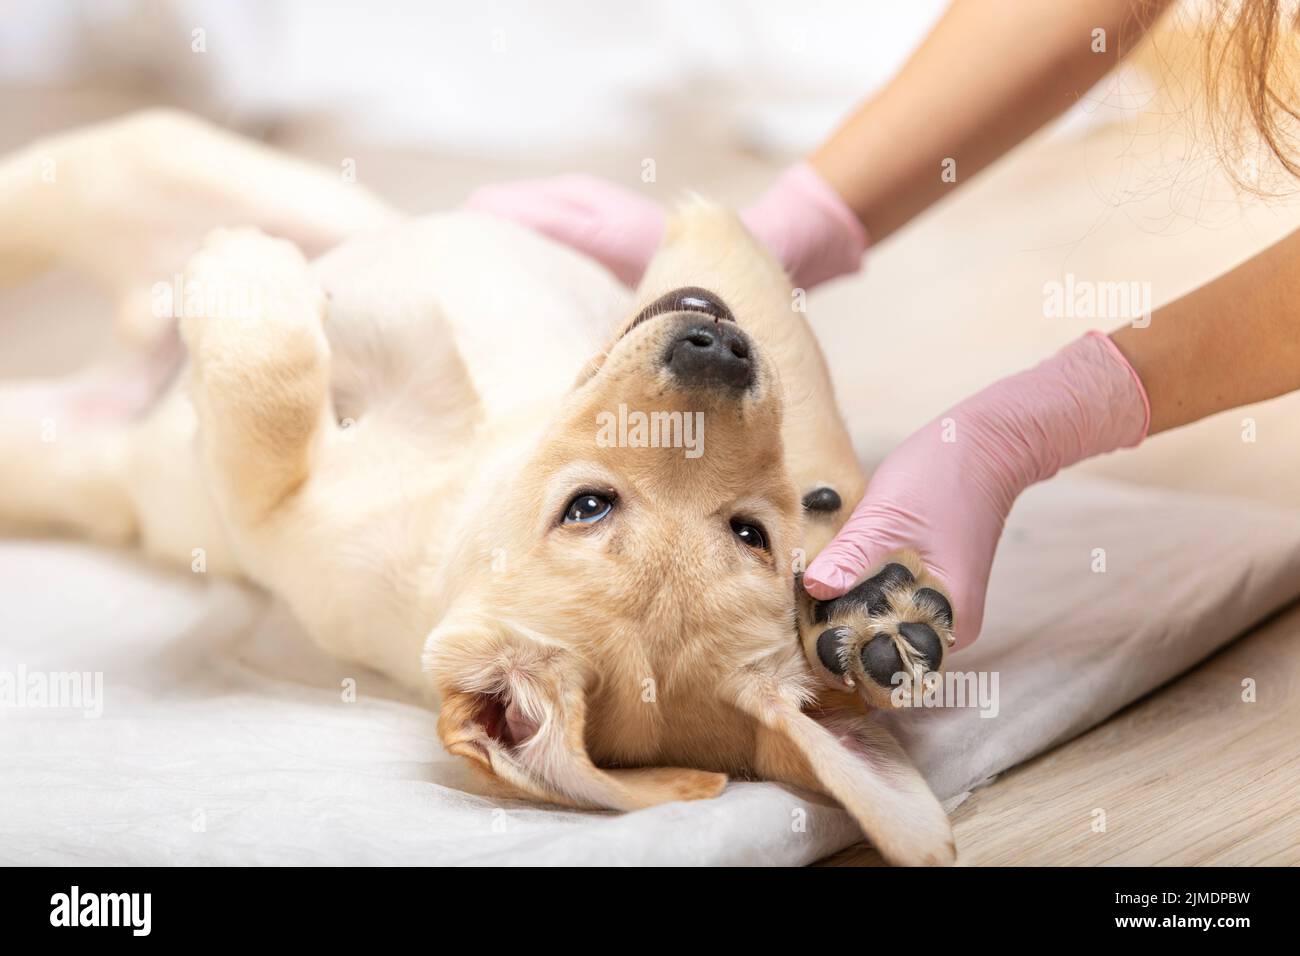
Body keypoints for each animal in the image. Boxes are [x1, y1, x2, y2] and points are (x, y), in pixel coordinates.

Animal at [0, 111, 956, 868]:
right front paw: (866, 608)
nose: (716, 350)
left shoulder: (272, 509)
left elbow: (264, 415)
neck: (476, 454)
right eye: (588, 505)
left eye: (751, 531)